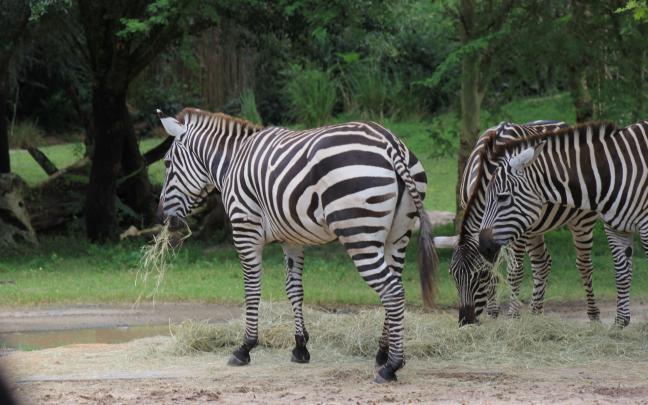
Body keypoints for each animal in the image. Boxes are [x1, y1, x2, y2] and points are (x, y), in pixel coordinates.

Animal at [156, 108, 439, 383]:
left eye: (167, 163)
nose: (162, 218)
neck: (232, 161)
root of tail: (389, 142)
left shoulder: (245, 229)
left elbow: (252, 290)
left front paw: (245, 347)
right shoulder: (292, 239)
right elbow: (294, 289)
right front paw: (301, 347)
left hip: (359, 234)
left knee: (392, 291)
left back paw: (391, 366)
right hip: (398, 236)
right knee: (397, 286)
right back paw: (382, 353)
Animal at [443, 121, 601, 325]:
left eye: (480, 275)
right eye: (452, 275)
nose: (465, 321)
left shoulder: (516, 230)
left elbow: (514, 272)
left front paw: (512, 316)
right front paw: (493, 314)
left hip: (581, 220)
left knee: (584, 265)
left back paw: (593, 314)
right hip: (534, 228)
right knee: (542, 263)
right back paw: (535, 314)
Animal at [479, 121, 648, 327]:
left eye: (502, 197)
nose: (483, 245)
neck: (612, 173)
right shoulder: (616, 229)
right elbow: (622, 274)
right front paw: (620, 323)